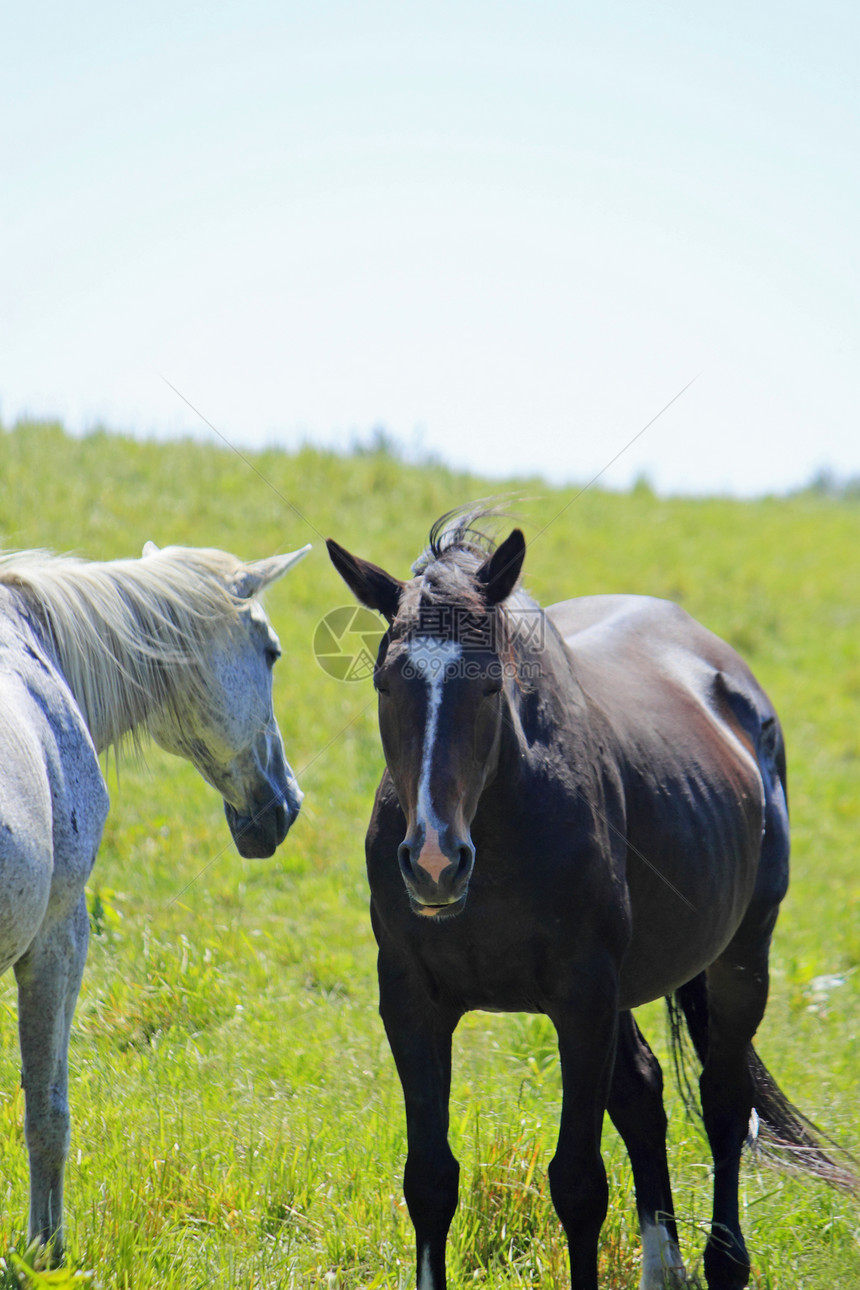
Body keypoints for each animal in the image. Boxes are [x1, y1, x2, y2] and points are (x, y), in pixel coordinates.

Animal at [326, 513, 850, 1290]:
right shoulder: (412, 1000)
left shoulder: (581, 999)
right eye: (388, 683)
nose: (433, 863)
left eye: (490, 687)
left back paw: (723, 1262)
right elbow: (429, 1180)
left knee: (724, 1107)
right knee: (643, 1093)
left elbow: (577, 1182)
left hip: (740, 958)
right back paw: (664, 1269)